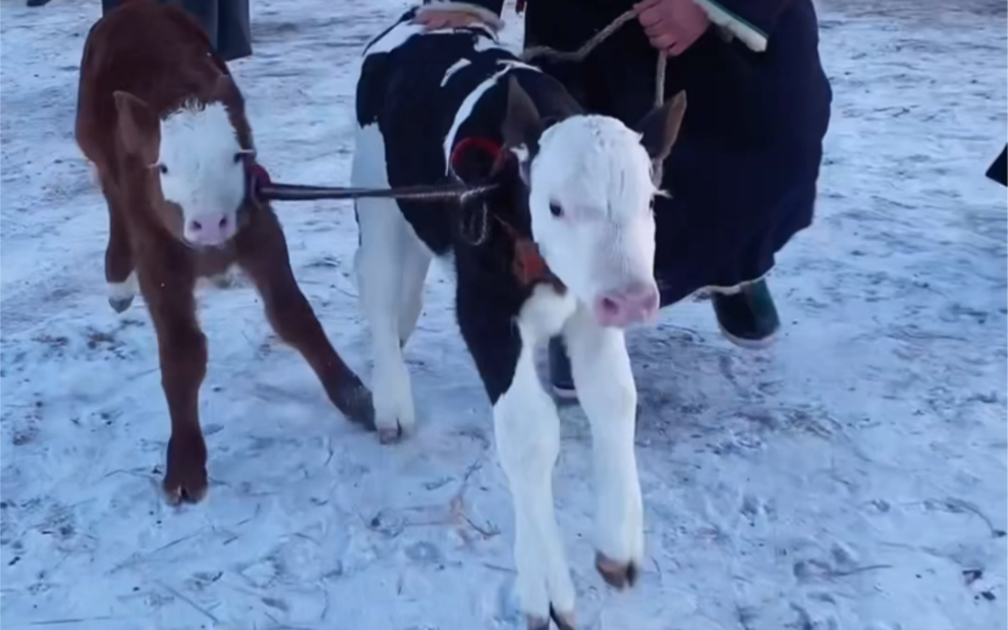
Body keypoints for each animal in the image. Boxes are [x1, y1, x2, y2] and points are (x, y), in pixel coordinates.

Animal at [74, 0, 374, 504]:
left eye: (237, 156)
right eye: (164, 167)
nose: (211, 222)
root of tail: (134, 7)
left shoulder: (258, 223)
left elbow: (293, 314)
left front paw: (357, 398)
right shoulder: (157, 248)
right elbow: (182, 350)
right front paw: (185, 466)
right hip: (91, 138)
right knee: (109, 190)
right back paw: (117, 279)